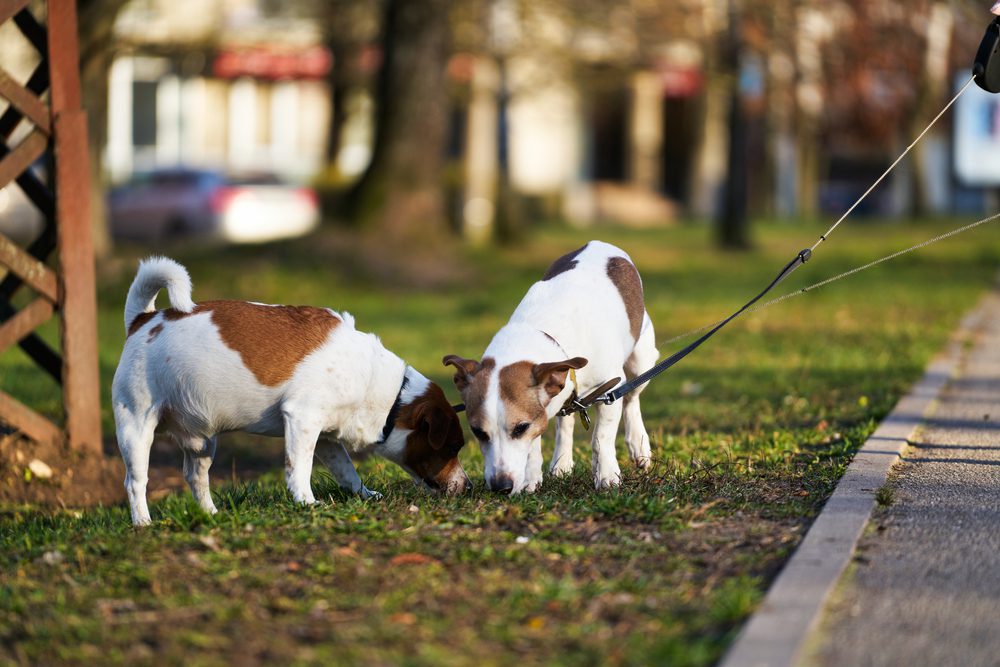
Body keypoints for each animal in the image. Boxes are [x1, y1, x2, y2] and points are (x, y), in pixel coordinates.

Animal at [111, 258, 470, 524]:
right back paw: (143, 523)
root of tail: (143, 320)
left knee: (195, 478)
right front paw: (306, 502)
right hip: (136, 428)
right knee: (135, 482)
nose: (467, 486)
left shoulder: (326, 438)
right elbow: (299, 468)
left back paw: (211, 514)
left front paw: (364, 495)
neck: (389, 391)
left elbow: (347, 472)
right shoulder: (302, 420)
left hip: (202, 442)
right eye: (453, 447)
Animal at [444, 243, 656, 494]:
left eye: (520, 428)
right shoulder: (542, 409)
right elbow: (536, 444)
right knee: (566, 419)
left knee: (632, 398)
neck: (545, 333)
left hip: (641, 360)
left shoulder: (610, 388)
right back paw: (561, 463)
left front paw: (607, 475)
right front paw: (531, 478)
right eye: (478, 431)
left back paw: (638, 445)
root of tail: (599, 243)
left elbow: (601, 438)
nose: (500, 487)